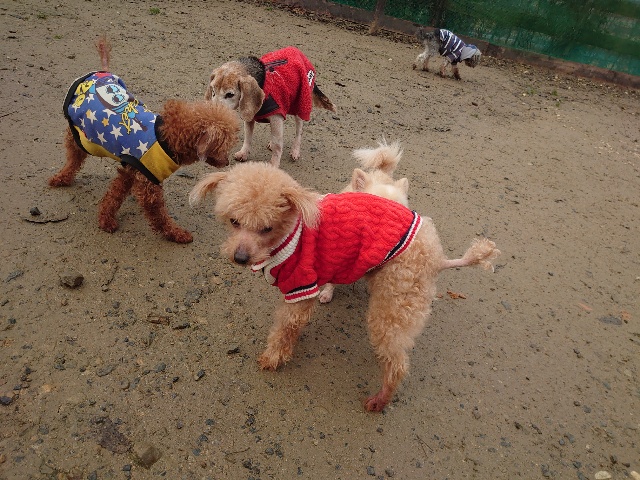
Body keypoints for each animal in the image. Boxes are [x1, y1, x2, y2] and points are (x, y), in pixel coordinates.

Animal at [49, 37, 239, 243]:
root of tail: (99, 72)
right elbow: (159, 215)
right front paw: (177, 234)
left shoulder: (130, 170)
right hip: (79, 136)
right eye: (223, 146)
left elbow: (115, 194)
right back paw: (60, 178)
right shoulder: (148, 182)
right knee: (73, 159)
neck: (169, 136)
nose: (227, 162)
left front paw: (106, 219)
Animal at [189, 161, 500, 412]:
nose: (240, 258)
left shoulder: (301, 287)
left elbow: (284, 328)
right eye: (234, 221)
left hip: (395, 303)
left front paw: (273, 357)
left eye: (266, 228)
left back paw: (381, 399)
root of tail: (437, 256)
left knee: (397, 361)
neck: (289, 233)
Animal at [205, 46, 336, 167]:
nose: (213, 113)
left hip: (301, 104)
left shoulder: (276, 118)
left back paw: (295, 150)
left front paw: (273, 165)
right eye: (213, 90)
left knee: (299, 131)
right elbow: (248, 137)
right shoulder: (250, 115)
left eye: (230, 94)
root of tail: (297, 50)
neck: (262, 82)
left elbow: (278, 145)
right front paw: (244, 153)